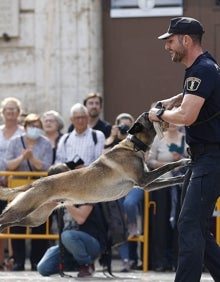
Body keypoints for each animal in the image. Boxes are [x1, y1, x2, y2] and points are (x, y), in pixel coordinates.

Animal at [0, 111, 190, 230]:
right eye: (147, 115)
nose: (162, 106)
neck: (133, 145)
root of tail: (36, 182)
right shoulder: (144, 179)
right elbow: (168, 165)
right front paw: (185, 161)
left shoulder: (146, 185)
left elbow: (170, 179)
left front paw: (183, 177)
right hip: (23, 209)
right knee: (3, 219)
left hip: (34, 218)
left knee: (6, 224)